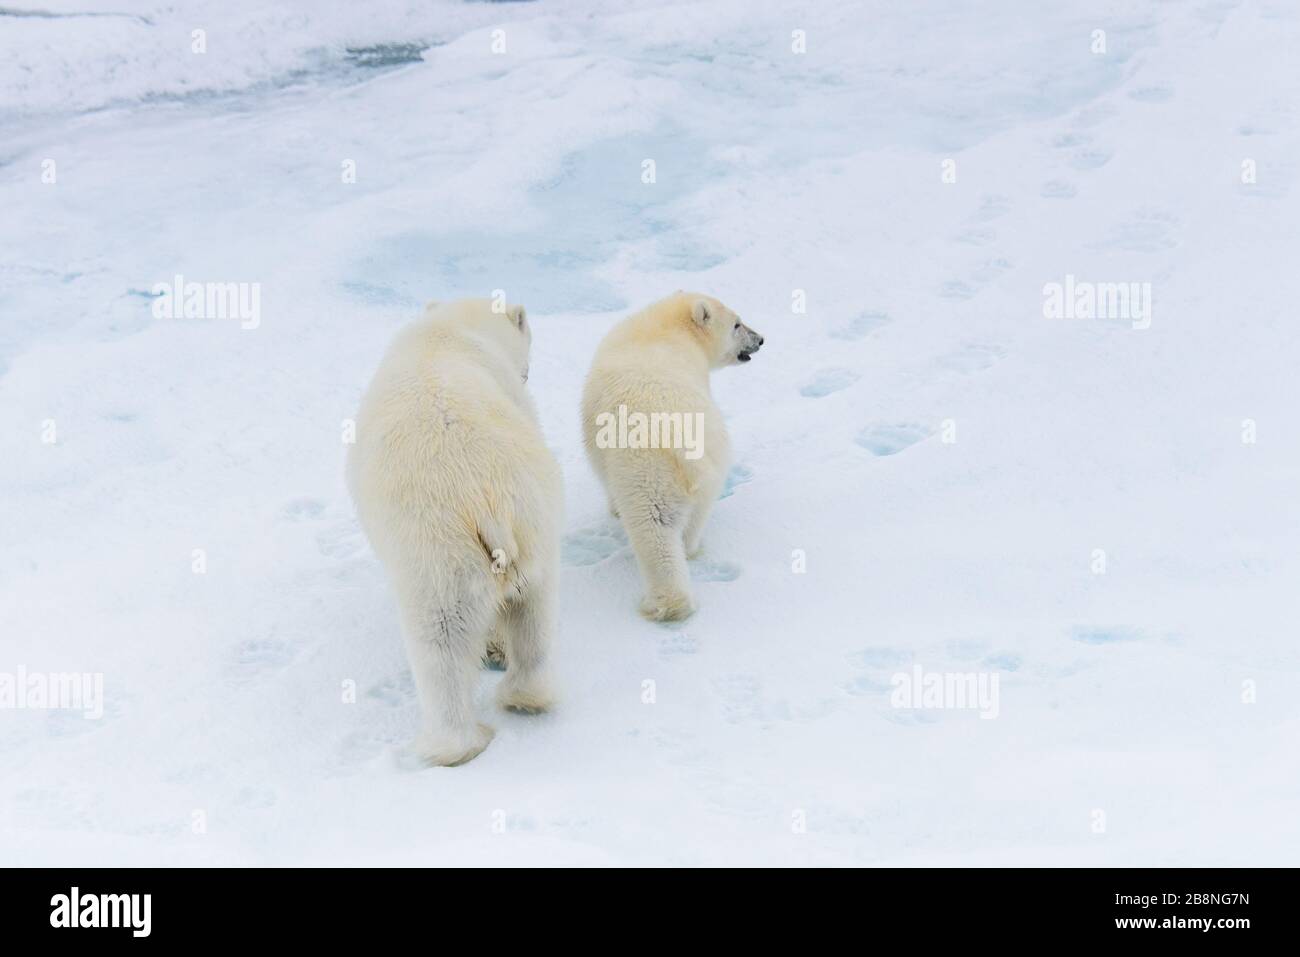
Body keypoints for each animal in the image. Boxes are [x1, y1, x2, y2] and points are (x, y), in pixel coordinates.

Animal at [348, 298, 562, 766]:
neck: (449, 330)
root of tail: (484, 501)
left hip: (439, 553)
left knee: (439, 641)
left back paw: (449, 745)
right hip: (532, 517)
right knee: (533, 606)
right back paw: (526, 696)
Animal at [581, 292, 763, 621]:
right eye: (737, 324)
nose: (760, 339)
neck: (665, 329)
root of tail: (676, 437)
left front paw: (613, 511)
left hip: (645, 471)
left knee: (655, 529)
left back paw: (667, 601)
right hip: (693, 467)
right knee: (679, 522)